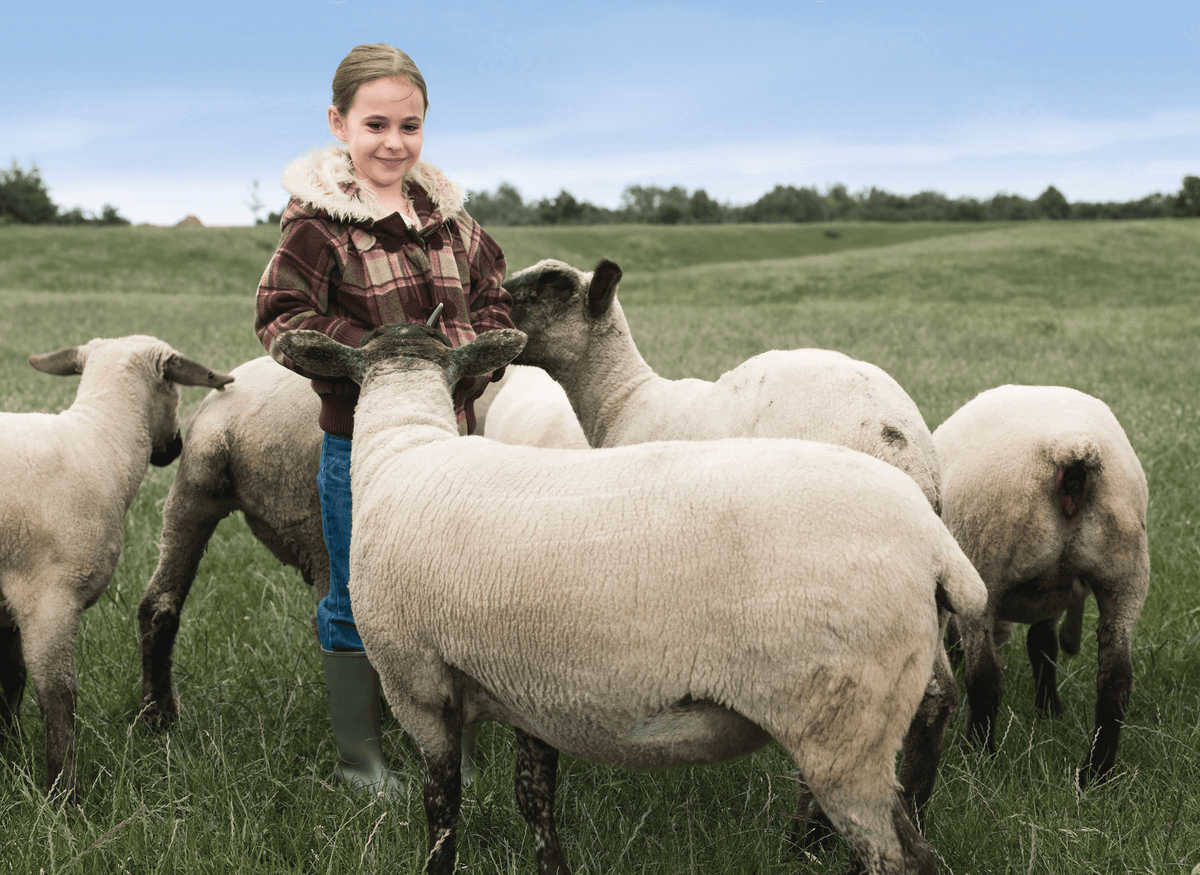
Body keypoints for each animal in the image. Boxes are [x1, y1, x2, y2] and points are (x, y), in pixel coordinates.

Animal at [0, 335, 233, 799]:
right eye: (174, 387)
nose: (175, 447)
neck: (103, 440)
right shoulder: (49, 597)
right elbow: (59, 697)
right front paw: (64, 795)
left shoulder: (9, 605)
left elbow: (9, 681)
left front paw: (8, 754)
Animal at [272, 321, 989, 875]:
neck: (402, 449)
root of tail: (936, 544)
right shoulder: (525, 687)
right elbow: (535, 799)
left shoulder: (417, 684)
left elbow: (441, 810)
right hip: (864, 713)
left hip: (843, 725)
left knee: (900, 859)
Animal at [501, 257, 956, 817]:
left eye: (552, 286)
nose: (490, 301)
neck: (621, 401)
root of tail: (904, 451)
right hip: (922, 590)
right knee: (936, 698)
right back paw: (913, 804)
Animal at [932, 384, 1150, 788]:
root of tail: (1070, 447)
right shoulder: (1053, 597)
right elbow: (1043, 646)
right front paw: (1049, 711)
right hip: (1125, 572)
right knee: (1116, 679)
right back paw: (1095, 772)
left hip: (985, 555)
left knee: (984, 676)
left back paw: (978, 756)